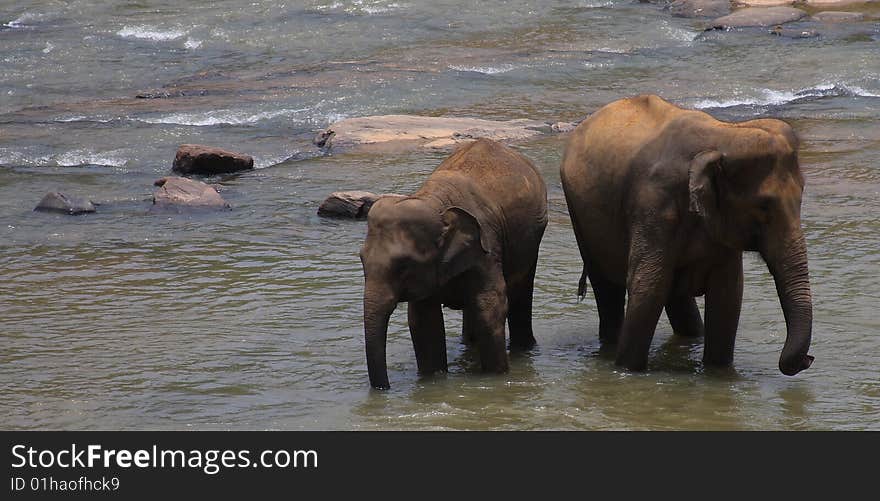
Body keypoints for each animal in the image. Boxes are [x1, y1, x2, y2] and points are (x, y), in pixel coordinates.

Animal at [360, 139, 548, 388]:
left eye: (404, 265)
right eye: (361, 260)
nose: (384, 388)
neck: (433, 200)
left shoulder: (486, 249)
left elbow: (489, 307)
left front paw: (495, 378)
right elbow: (424, 322)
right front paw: (433, 379)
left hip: (532, 238)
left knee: (520, 289)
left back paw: (523, 350)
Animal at [560, 94, 816, 376]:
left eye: (802, 197)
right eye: (763, 206)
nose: (808, 359)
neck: (724, 135)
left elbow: (728, 294)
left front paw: (718, 373)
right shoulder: (653, 205)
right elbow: (648, 287)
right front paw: (627, 370)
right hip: (579, 215)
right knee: (608, 286)